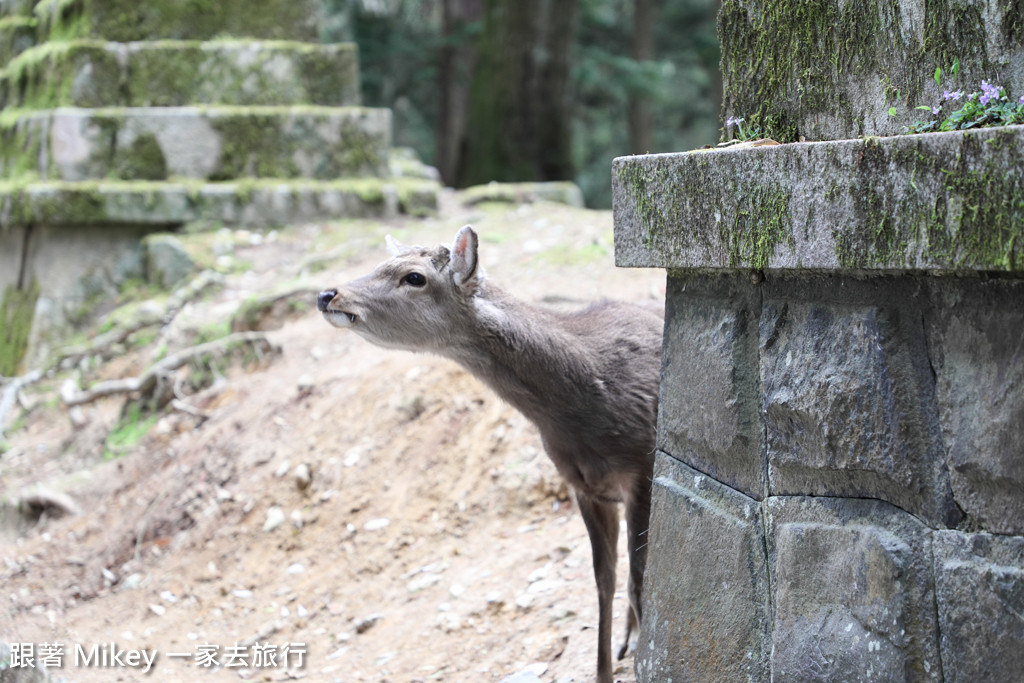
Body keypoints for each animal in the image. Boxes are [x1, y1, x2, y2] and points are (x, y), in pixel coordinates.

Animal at [317, 225, 663, 683]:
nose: (328, 294)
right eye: (379, 263)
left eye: (414, 277)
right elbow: (603, 580)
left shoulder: (643, 468)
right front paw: (604, 671)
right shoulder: (582, 485)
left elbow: (640, 578)